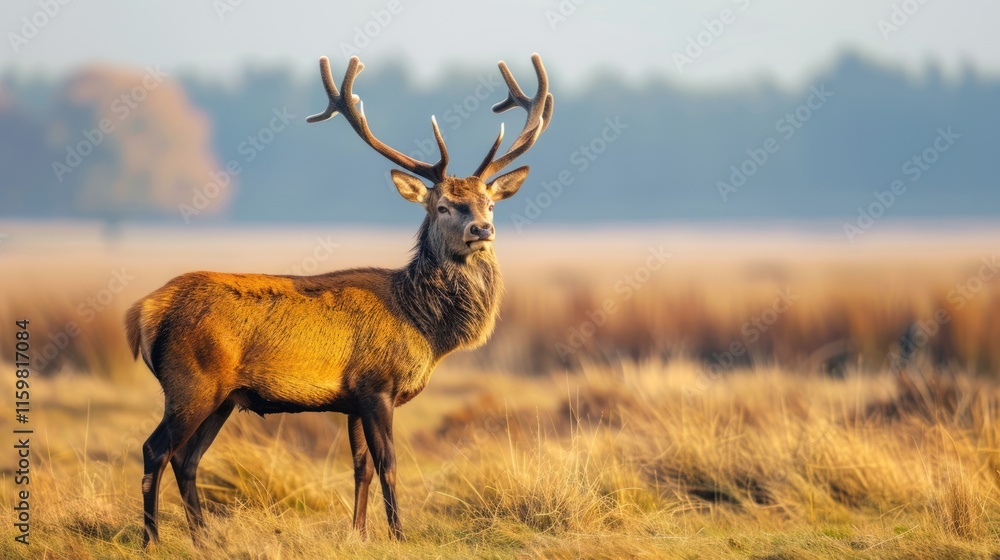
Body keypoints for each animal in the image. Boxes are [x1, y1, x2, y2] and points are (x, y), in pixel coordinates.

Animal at [124, 53, 553, 546]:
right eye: (443, 206)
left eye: (490, 203)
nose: (482, 229)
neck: (425, 328)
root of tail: (142, 313)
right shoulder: (376, 384)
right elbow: (388, 464)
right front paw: (399, 535)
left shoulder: (352, 399)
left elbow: (361, 468)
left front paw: (360, 533)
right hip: (190, 381)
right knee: (155, 449)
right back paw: (152, 539)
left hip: (223, 397)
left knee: (186, 458)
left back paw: (205, 538)